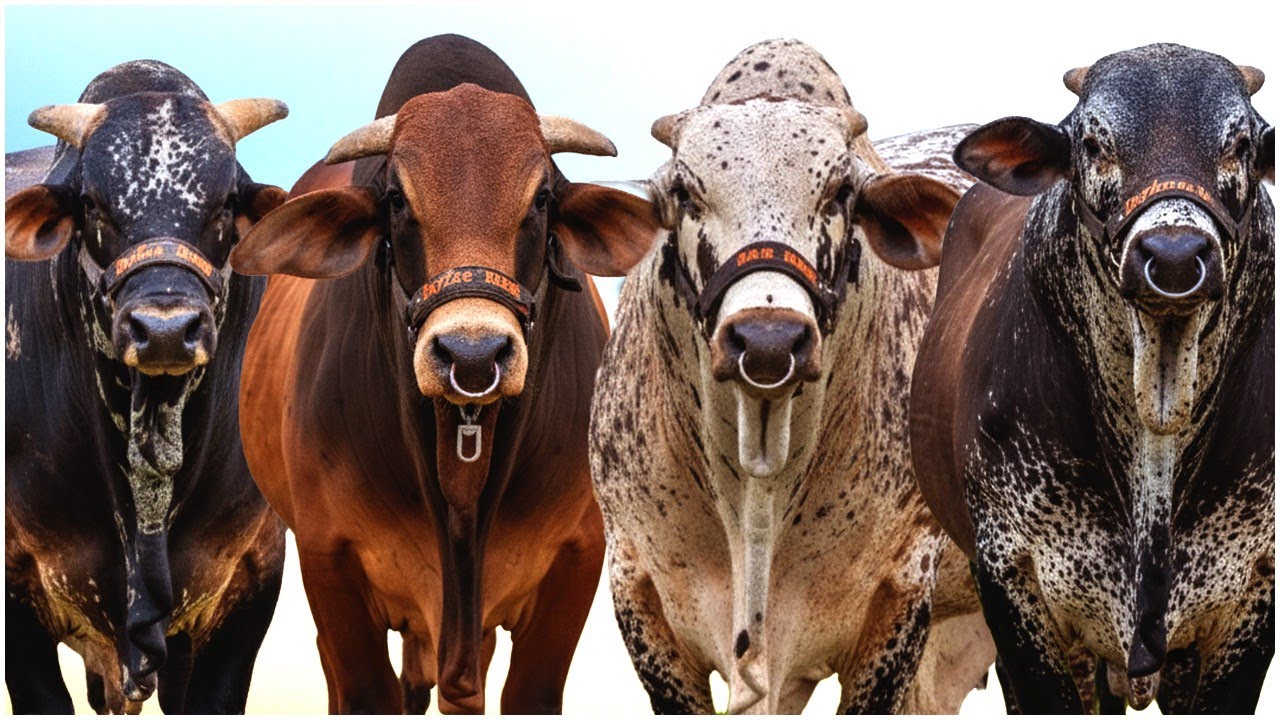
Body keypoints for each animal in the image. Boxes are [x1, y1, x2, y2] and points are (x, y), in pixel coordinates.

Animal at [229, 35, 658, 713]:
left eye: (542, 198)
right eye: (397, 199)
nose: (473, 354)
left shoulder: (577, 562)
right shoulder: (329, 561)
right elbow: (367, 690)